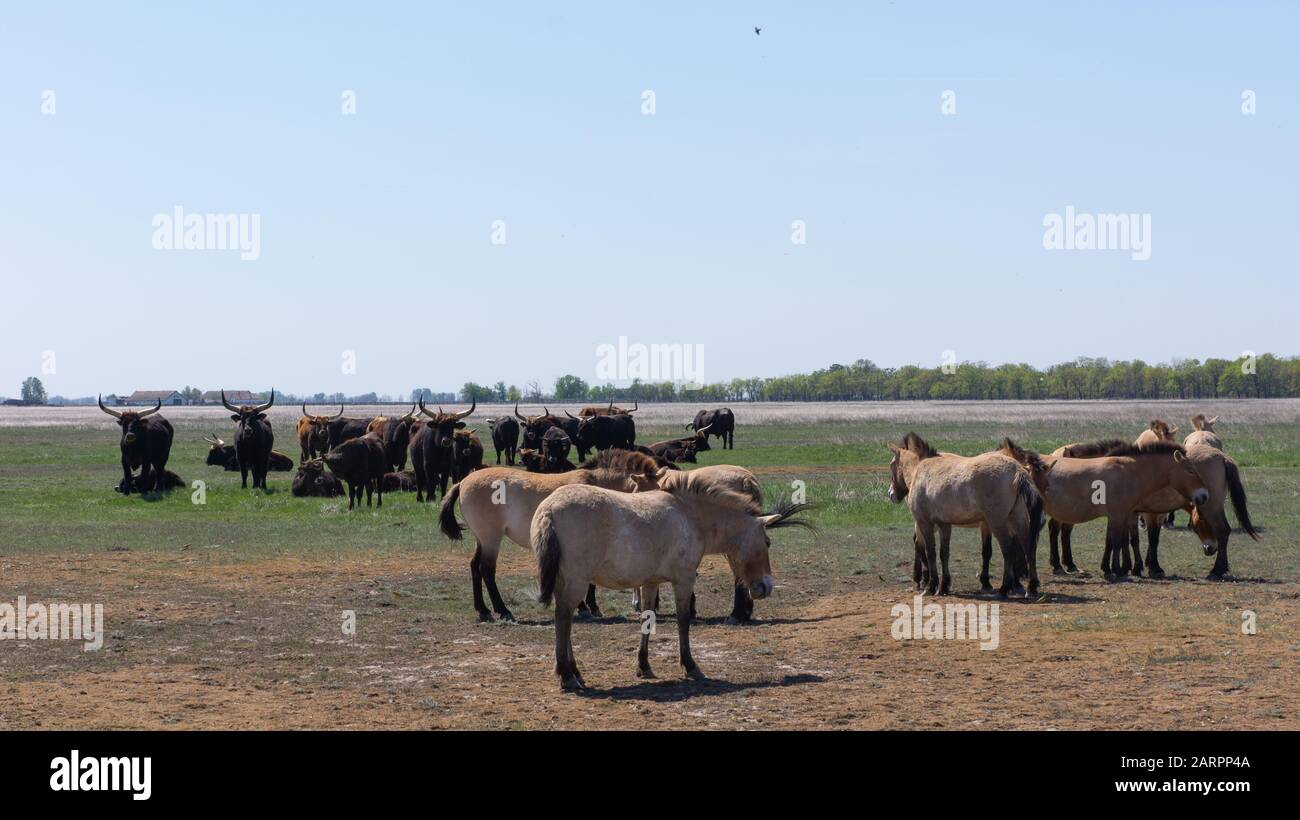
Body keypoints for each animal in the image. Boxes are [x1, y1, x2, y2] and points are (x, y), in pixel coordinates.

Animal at [436, 449, 660, 621]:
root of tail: (463, 482)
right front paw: (588, 607)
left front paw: (587, 607)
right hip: (491, 539)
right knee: (487, 570)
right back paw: (503, 611)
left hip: (481, 539)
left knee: (475, 567)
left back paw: (483, 611)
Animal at [883, 434, 1045, 600]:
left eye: (891, 465)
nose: (891, 494)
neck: (921, 470)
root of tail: (1018, 470)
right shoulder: (944, 524)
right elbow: (944, 554)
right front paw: (944, 586)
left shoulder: (925, 522)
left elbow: (931, 553)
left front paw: (931, 587)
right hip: (1017, 519)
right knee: (1029, 547)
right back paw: (1031, 587)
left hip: (998, 522)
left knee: (1008, 550)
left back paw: (1004, 589)